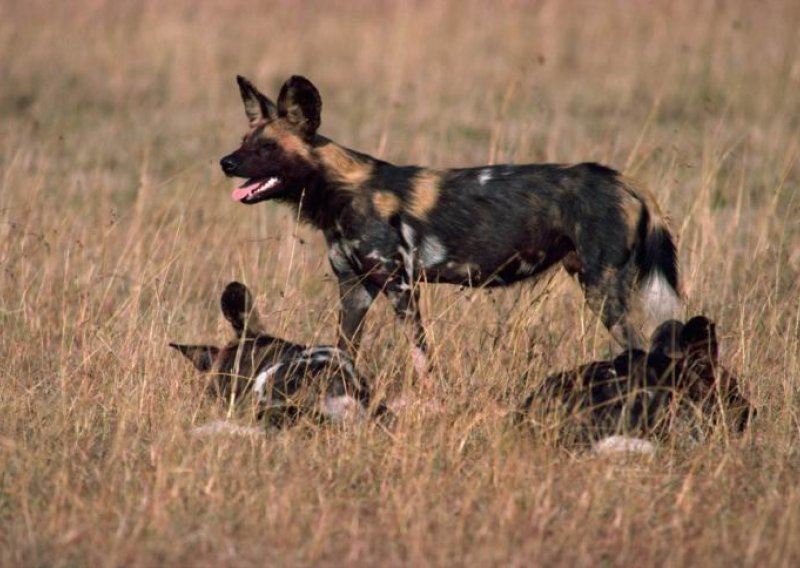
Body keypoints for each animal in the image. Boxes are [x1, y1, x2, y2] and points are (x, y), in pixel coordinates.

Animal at [220, 76, 680, 378]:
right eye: (244, 142)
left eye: (267, 147)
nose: (225, 162)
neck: (341, 191)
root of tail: (625, 181)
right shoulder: (354, 289)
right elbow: (344, 350)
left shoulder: (401, 286)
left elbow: (421, 355)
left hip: (602, 290)